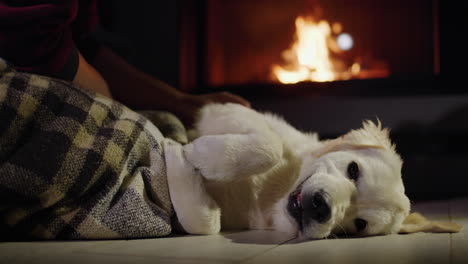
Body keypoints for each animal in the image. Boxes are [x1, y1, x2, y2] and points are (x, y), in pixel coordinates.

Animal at [165, 102, 460, 240]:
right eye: (353, 170)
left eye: (360, 224)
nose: (320, 207)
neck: (272, 196)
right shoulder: (226, 110)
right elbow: (270, 146)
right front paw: (195, 152)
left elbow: (205, 223)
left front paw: (177, 156)